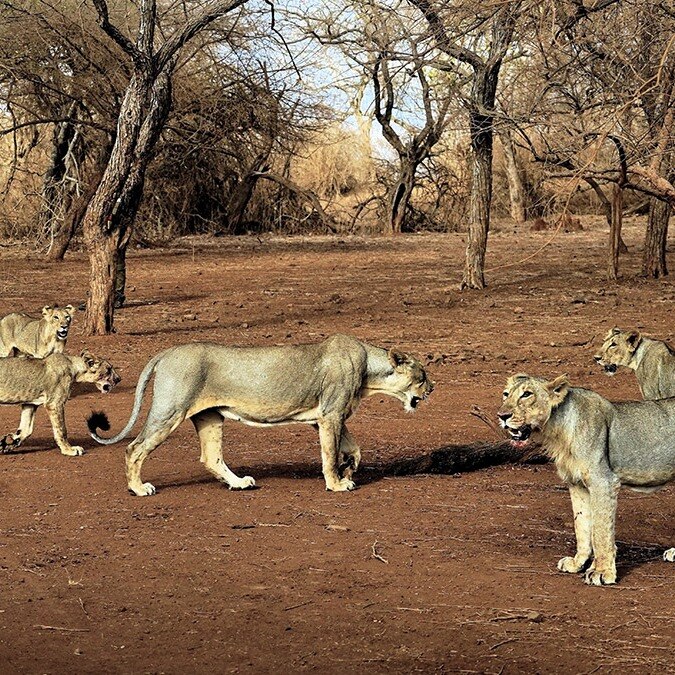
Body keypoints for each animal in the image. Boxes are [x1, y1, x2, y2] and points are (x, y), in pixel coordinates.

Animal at [87, 334, 434, 497]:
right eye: (422, 376)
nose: (433, 388)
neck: (370, 373)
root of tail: (166, 352)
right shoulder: (331, 415)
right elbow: (329, 455)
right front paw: (337, 483)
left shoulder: (323, 418)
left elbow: (354, 449)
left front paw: (349, 469)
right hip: (169, 410)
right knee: (134, 448)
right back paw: (138, 488)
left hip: (210, 417)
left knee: (211, 457)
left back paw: (239, 483)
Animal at [498, 373, 675, 586]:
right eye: (505, 394)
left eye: (526, 394)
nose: (502, 416)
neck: (558, 430)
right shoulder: (577, 484)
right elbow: (581, 526)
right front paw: (577, 563)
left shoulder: (603, 482)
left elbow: (600, 531)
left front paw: (602, 571)